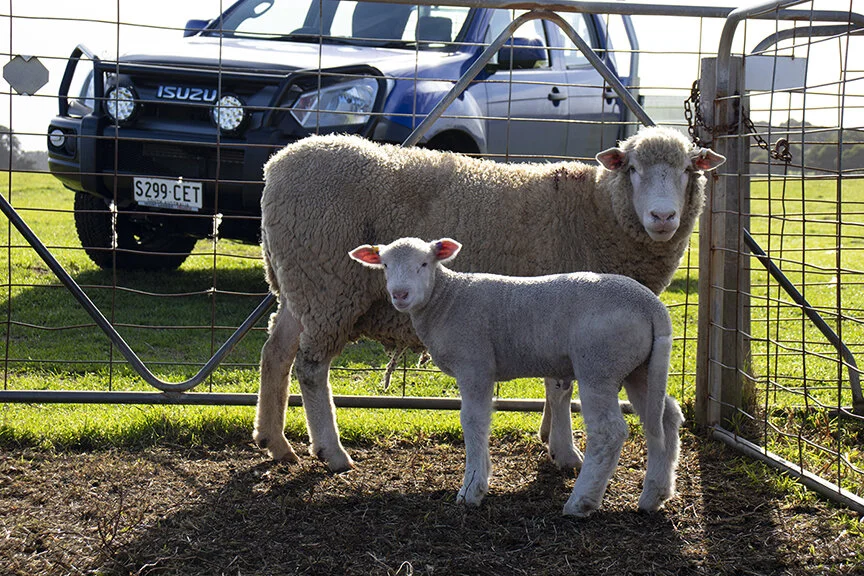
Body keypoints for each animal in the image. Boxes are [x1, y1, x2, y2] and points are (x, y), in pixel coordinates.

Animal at [255, 126, 725, 473]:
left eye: (688, 168)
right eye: (632, 168)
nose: (663, 217)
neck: (595, 209)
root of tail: (275, 165)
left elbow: (556, 381)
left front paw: (548, 435)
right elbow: (559, 385)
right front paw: (565, 451)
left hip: (301, 288)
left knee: (275, 352)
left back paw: (274, 442)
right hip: (328, 287)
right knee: (311, 368)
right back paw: (332, 453)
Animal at [349, 236, 682, 516]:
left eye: (424, 263)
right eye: (385, 265)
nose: (400, 294)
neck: (447, 299)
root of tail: (652, 306)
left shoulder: (474, 364)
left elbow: (473, 422)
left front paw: (472, 488)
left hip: (599, 365)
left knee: (609, 431)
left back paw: (581, 502)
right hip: (640, 367)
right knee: (665, 418)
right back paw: (654, 496)